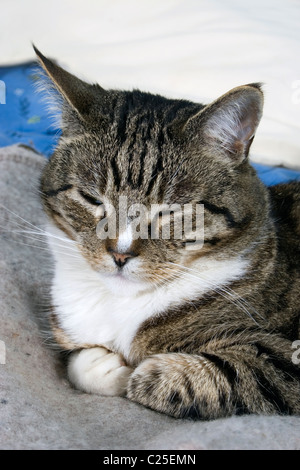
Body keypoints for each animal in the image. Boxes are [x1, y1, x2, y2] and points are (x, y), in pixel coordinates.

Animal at [34, 45, 298, 418]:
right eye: (91, 198)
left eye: (171, 210)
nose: (120, 254)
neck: (120, 304)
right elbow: (79, 362)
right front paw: (104, 363)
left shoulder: (283, 355)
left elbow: (155, 378)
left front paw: (133, 369)